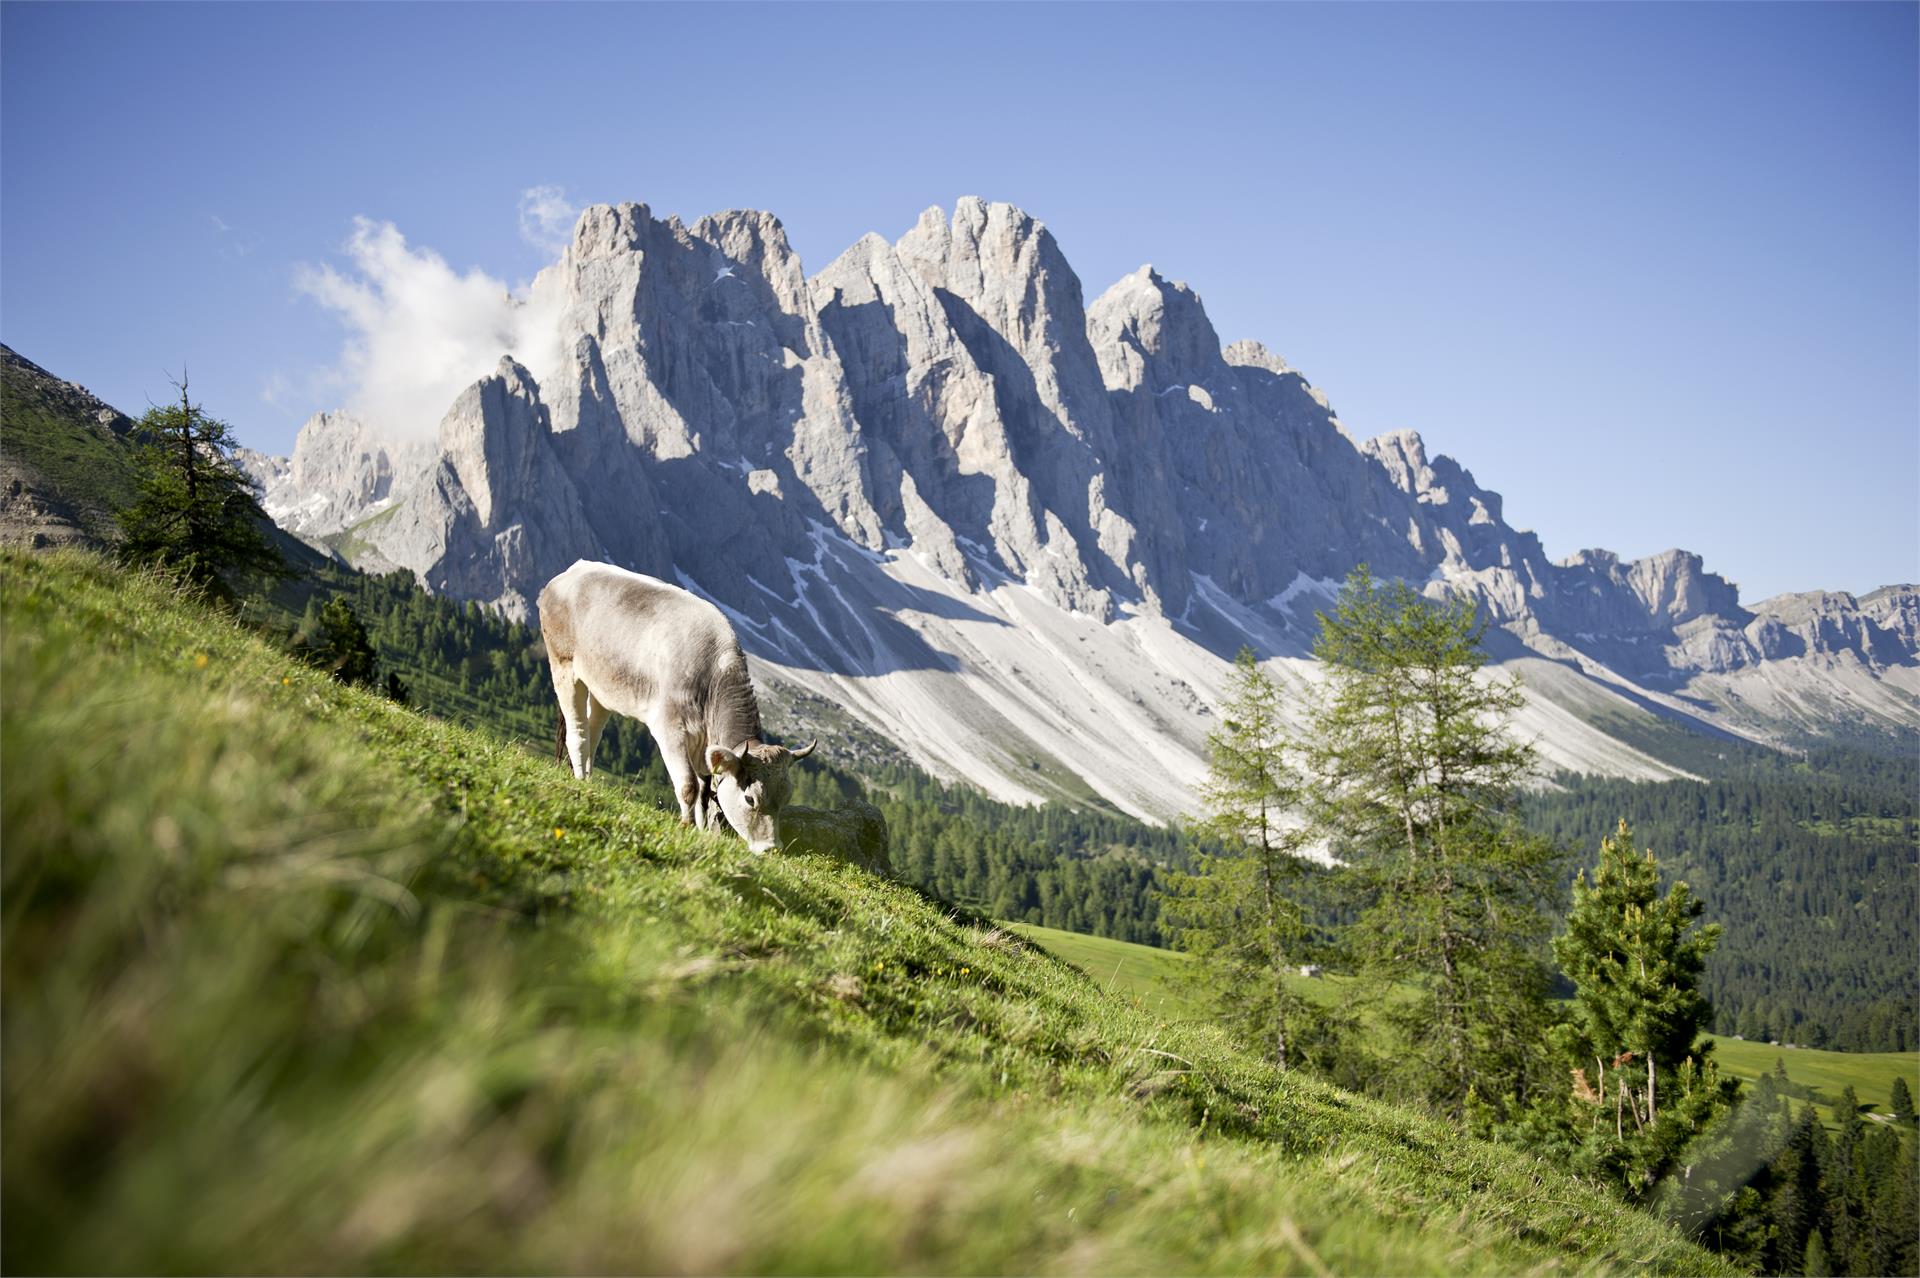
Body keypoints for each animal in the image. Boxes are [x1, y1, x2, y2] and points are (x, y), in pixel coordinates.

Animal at [537, 560, 814, 844]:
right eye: (750, 799)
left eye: (785, 799)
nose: (770, 847)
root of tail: (574, 570)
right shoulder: (670, 730)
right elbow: (689, 785)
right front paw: (685, 825)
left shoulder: (703, 746)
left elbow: (705, 791)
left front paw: (702, 831)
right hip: (563, 665)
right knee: (577, 732)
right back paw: (579, 778)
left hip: (602, 687)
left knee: (593, 733)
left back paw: (589, 781)